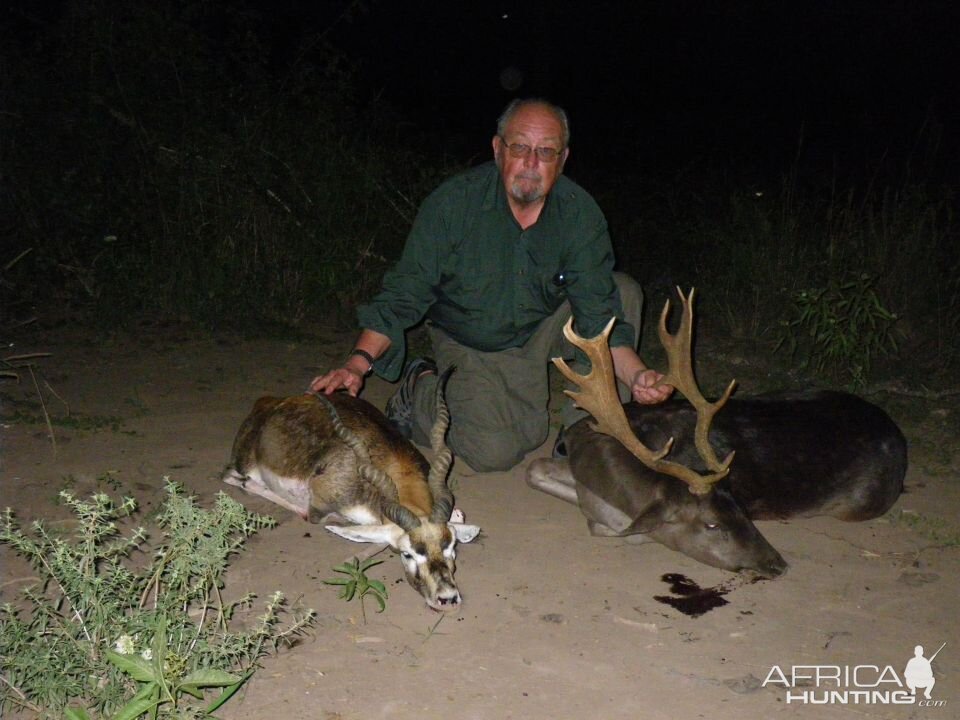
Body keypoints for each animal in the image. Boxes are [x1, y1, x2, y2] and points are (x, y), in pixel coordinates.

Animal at [225, 372, 480, 612]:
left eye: (451, 547)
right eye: (407, 554)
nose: (447, 598)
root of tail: (266, 403)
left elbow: (459, 515)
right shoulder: (320, 506)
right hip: (244, 468)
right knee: (235, 479)